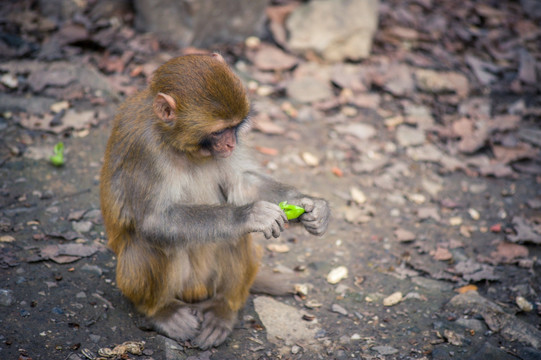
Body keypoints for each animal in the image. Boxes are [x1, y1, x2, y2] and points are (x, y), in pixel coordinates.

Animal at [99, 53, 332, 348]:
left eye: (235, 127)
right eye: (220, 131)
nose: (232, 144)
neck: (176, 142)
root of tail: (196, 295)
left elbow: (243, 183)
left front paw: (312, 207)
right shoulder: (145, 149)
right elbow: (154, 221)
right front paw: (248, 216)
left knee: (233, 239)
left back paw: (223, 308)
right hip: (140, 283)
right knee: (151, 243)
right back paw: (161, 311)